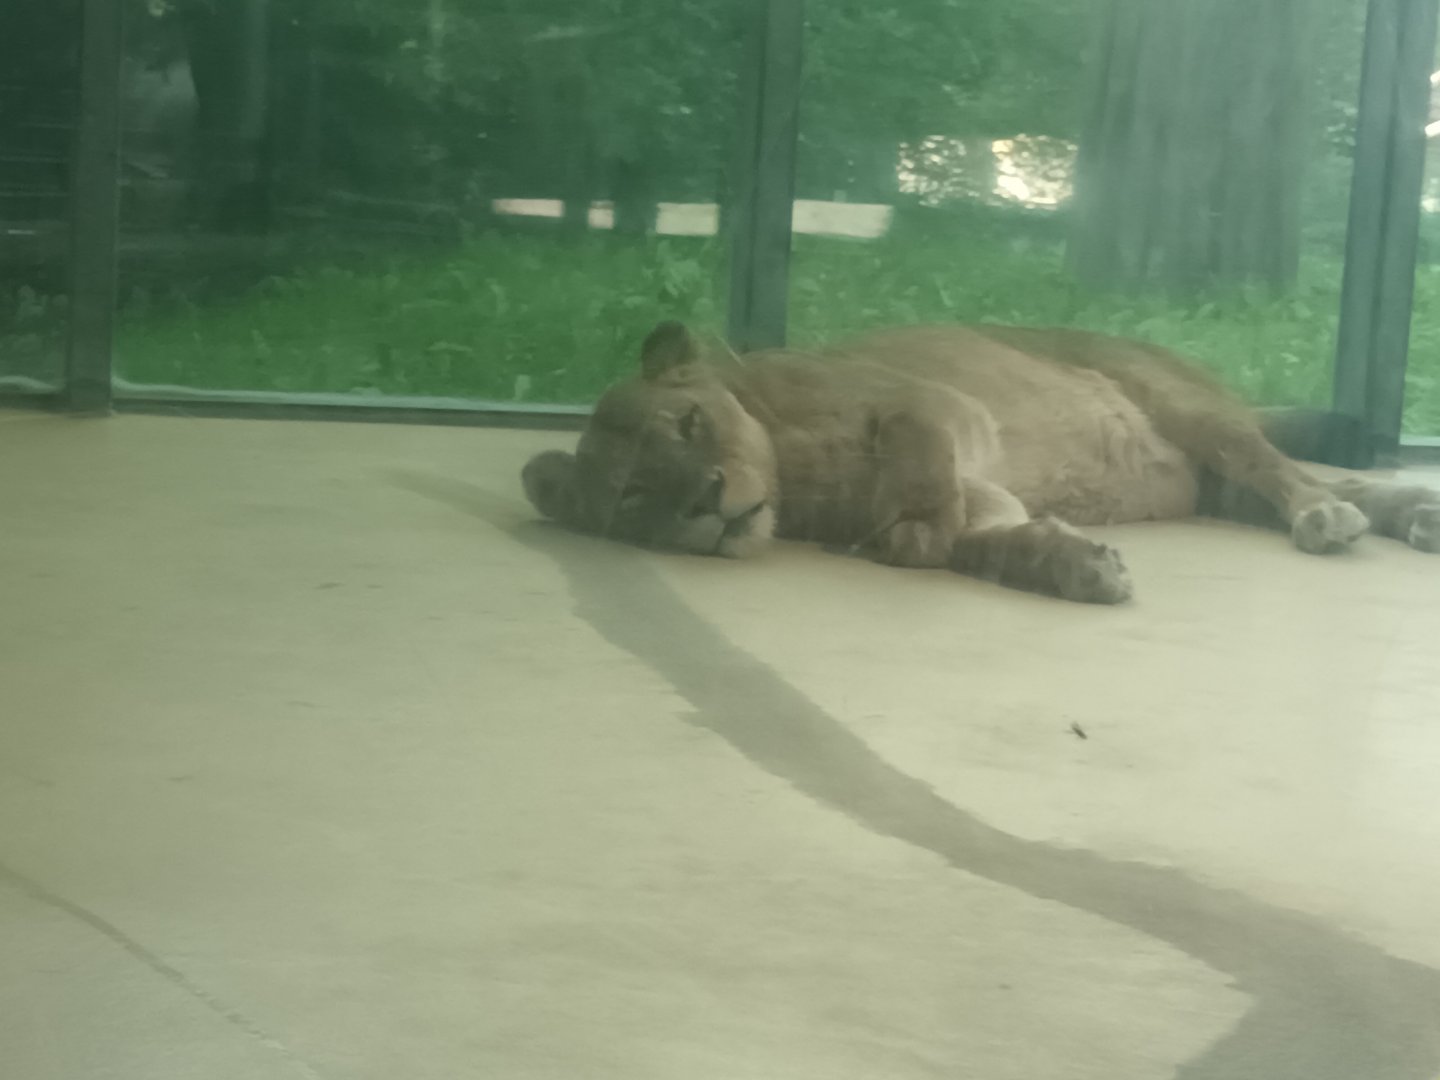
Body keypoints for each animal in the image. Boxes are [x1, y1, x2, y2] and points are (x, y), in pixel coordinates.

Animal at [522, 321, 1440, 603]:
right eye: (634, 494)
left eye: (689, 422)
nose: (708, 498)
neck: (794, 486)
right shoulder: (985, 490)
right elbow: (987, 540)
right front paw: (1077, 566)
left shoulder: (931, 407)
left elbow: (926, 501)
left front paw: (912, 535)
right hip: (1213, 481)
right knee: (1342, 480)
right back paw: (1416, 516)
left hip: (1192, 412)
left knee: (1293, 475)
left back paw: (1329, 519)